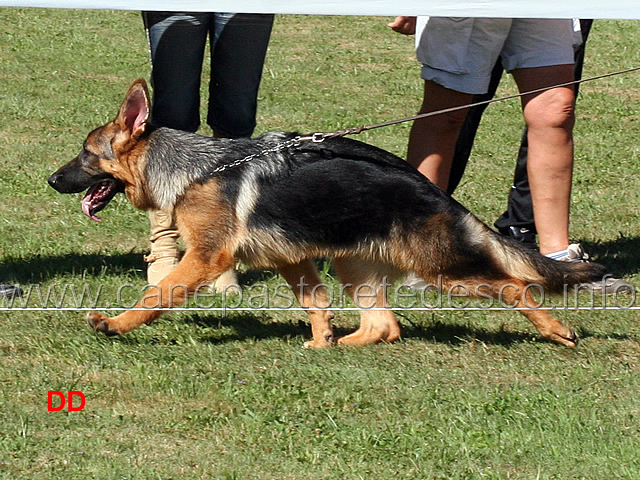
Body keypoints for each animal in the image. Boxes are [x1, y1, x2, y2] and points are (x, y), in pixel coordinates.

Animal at [48, 79, 604, 348]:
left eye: (85, 154)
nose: (51, 180)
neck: (195, 167)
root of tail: (439, 194)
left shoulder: (205, 259)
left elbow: (156, 295)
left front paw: (116, 324)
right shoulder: (292, 258)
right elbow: (315, 304)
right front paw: (320, 343)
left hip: (444, 272)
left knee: (515, 287)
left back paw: (556, 331)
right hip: (351, 263)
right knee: (385, 326)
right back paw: (343, 345)